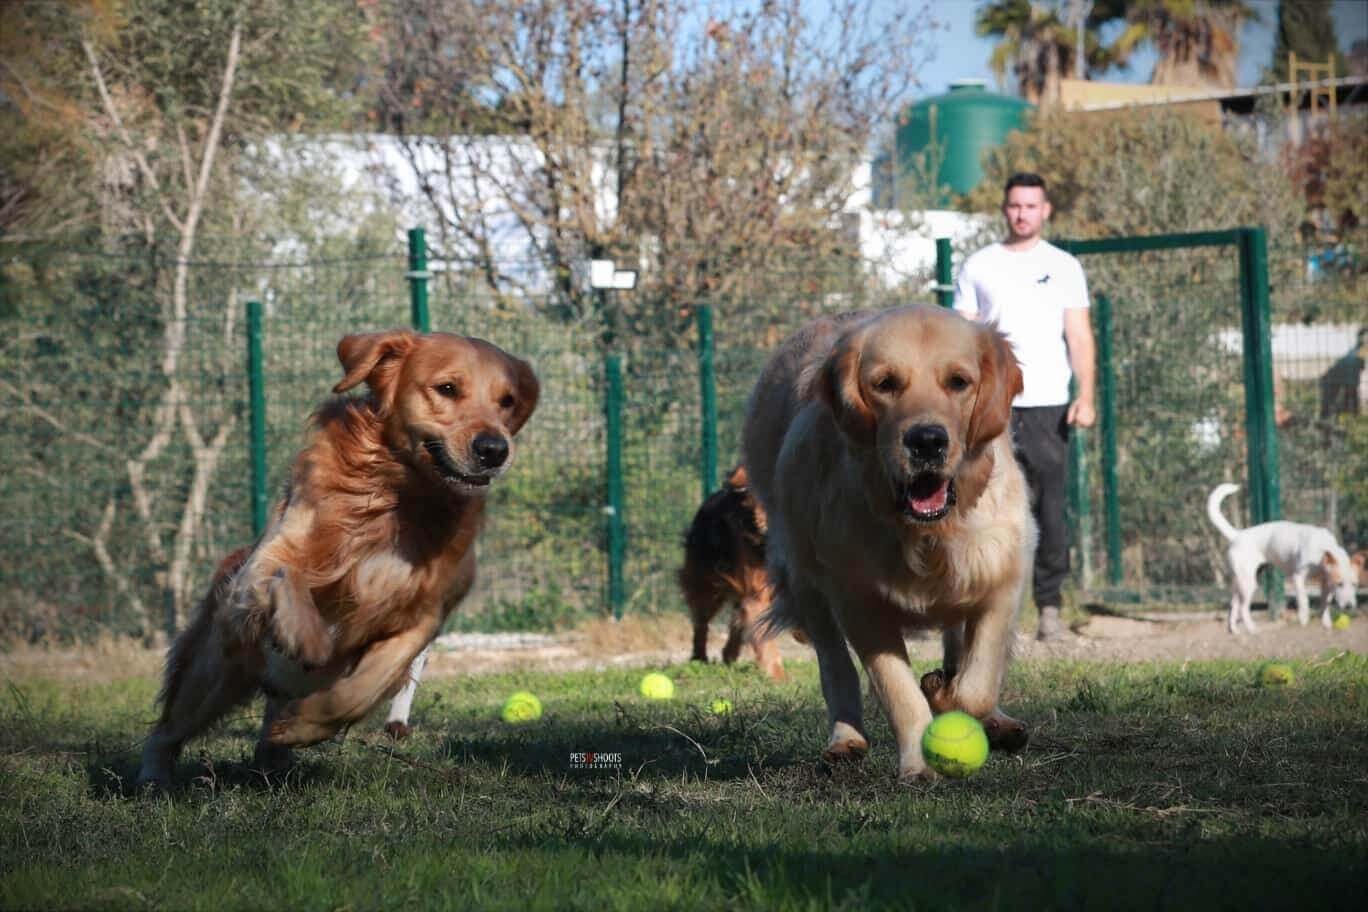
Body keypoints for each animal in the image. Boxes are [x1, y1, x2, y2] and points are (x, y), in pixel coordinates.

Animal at [744, 303, 1028, 782]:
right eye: (884, 384)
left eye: (959, 381)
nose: (927, 441)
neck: (926, 536)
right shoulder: (859, 602)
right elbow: (898, 691)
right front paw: (919, 761)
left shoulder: (1003, 574)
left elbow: (978, 684)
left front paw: (953, 697)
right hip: (805, 578)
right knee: (835, 666)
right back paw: (845, 739)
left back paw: (994, 718)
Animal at [1209, 484, 1357, 634]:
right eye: (1340, 584)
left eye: (1355, 584)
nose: (1349, 606)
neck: (1322, 548)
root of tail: (1237, 535)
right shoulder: (1298, 577)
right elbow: (1304, 599)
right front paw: (1303, 618)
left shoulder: (1326, 583)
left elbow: (1325, 603)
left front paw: (1326, 623)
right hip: (1249, 584)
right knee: (1244, 608)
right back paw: (1252, 629)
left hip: (1242, 581)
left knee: (1234, 604)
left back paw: (1234, 630)